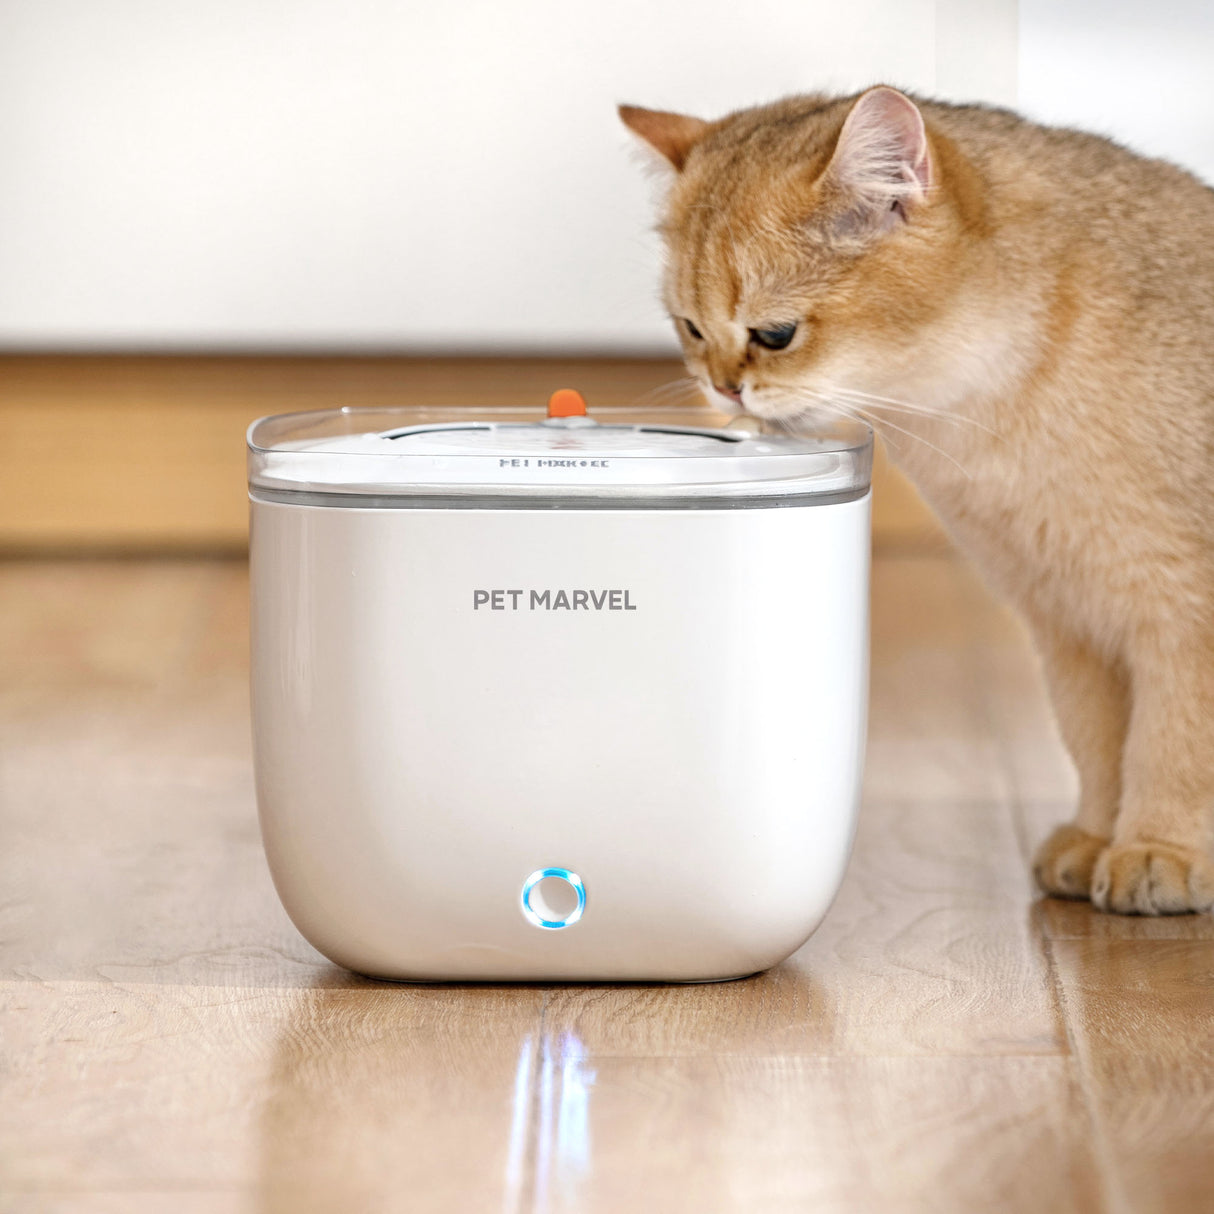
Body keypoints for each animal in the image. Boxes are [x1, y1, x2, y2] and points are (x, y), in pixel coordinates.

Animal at [621, 88, 1214, 912]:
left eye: (776, 335)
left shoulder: (1182, 614)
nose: (722, 388)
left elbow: (1175, 741)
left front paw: (1161, 849)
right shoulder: (1071, 624)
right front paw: (1098, 837)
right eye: (691, 329)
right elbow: (1098, 742)